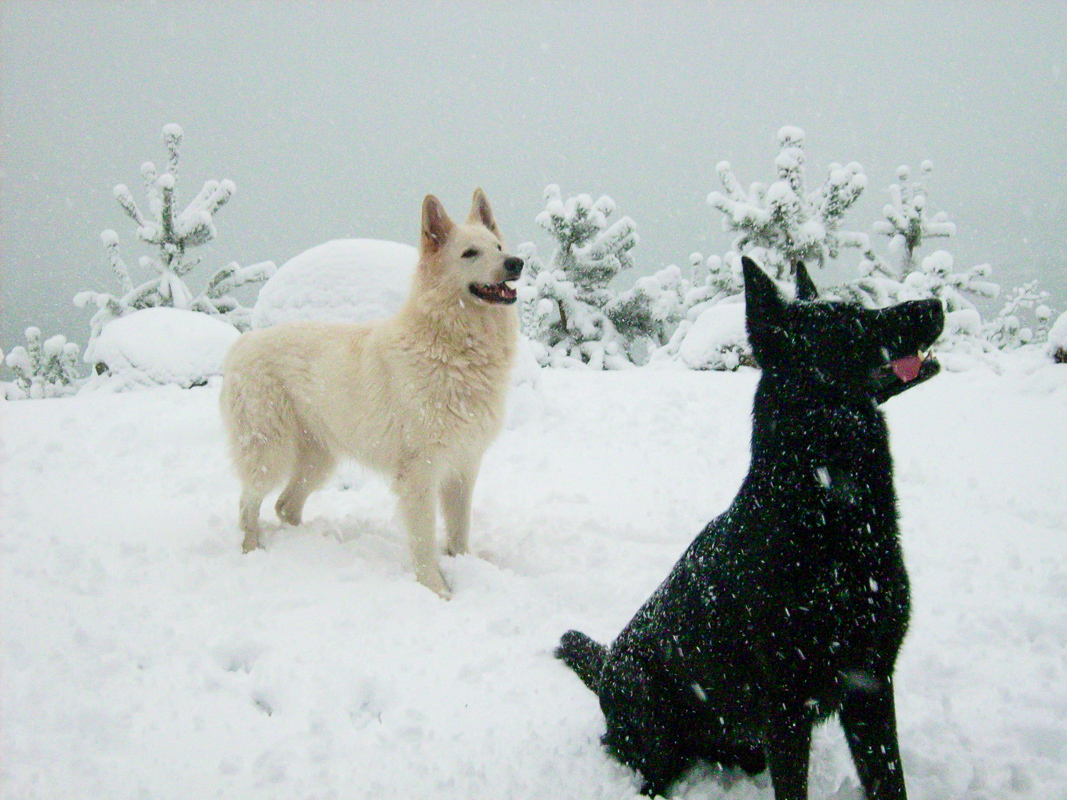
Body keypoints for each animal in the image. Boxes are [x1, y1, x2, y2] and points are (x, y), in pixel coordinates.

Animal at [223, 190, 522, 597]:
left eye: (498, 247)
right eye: (470, 253)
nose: (516, 263)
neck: (452, 346)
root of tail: (243, 343)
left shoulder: (464, 466)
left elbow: (460, 532)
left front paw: (466, 569)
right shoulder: (420, 473)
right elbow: (424, 541)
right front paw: (437, 591)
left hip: (318, 461)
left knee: (285, 506)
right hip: (271, 453)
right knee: (247, 503)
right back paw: (252, 549)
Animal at [559, 258, 943, 800]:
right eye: (849, 323)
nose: (936, 303)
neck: (827, 521)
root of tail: (609, 660)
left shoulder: (870, 686)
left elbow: (890, 781)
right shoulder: (786, 709)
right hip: (652, 718)